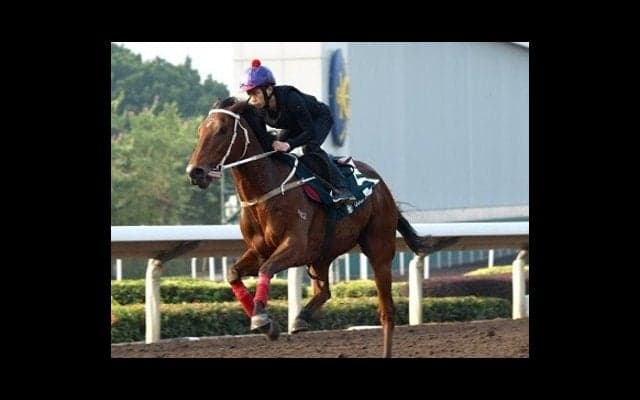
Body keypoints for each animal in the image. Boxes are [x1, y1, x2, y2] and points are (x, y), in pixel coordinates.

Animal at [186, 98, 457, 357]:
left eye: (222, 130)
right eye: (200, 131)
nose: (194, 171)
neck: (266, 194)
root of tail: (381, 185)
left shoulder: (296, 246)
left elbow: (266, 269)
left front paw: (262, 319)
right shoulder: (260, 250)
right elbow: (233, 273)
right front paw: (262, 319)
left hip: (379, 248)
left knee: (386, 312)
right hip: (322, 254)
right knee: (325, 290)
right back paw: (300, 319)